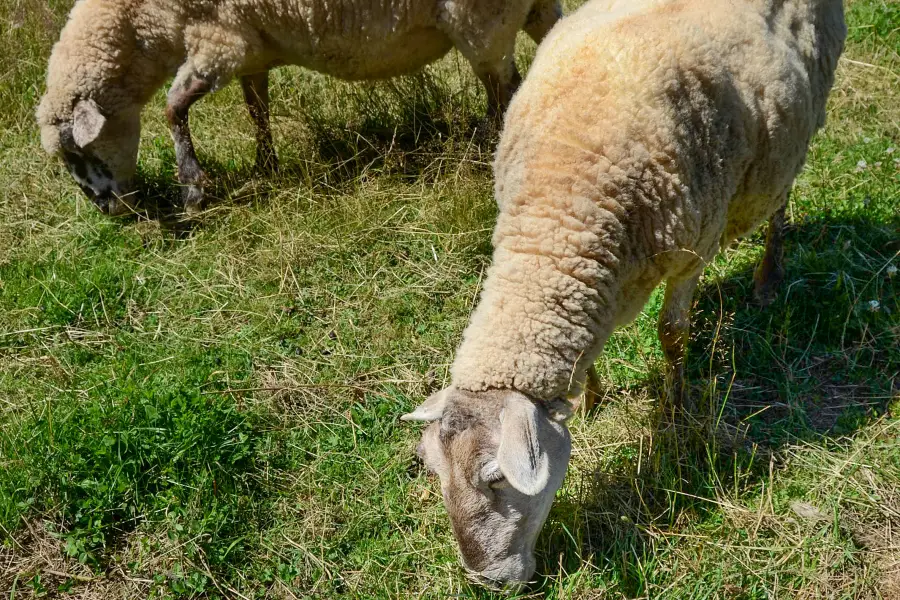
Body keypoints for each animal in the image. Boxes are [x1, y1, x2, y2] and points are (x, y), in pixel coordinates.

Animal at [37, 0, 564, 216]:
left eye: (77, 150)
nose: (106, 209)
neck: (142, 27)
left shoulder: (217, 40)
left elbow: (172, 109)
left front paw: (193, 188)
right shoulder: (250, 49)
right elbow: (257, 108)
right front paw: (265, 165)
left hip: (481, 21)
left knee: (505, 89)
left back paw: (492, 151)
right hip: (533, 8)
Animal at [404, 0, 848, 584]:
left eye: (498, 478)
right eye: (435, 472)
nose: (489, 581)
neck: (560, 209)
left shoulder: (692, 249)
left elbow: (672, 334)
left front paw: (676, 411)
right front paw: (592, 401)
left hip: (800, 132)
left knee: (780, 201)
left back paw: (768, 277)